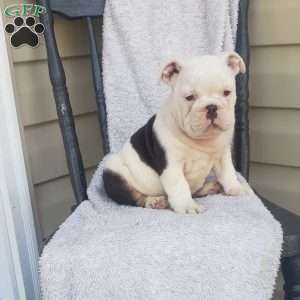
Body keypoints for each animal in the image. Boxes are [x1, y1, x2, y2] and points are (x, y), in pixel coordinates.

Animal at [104, 52, 250, 214]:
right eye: (189, 97)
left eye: (226, 93)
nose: (211, 107)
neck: (202, 140)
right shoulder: (172, 164)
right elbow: (179, 185)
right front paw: (187, 206)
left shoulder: (222, 154)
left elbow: (227, 172)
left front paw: (236, 188)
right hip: (113, 171)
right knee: (133, 198)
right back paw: (154, 201)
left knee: (195, 190)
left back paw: (209, 187)